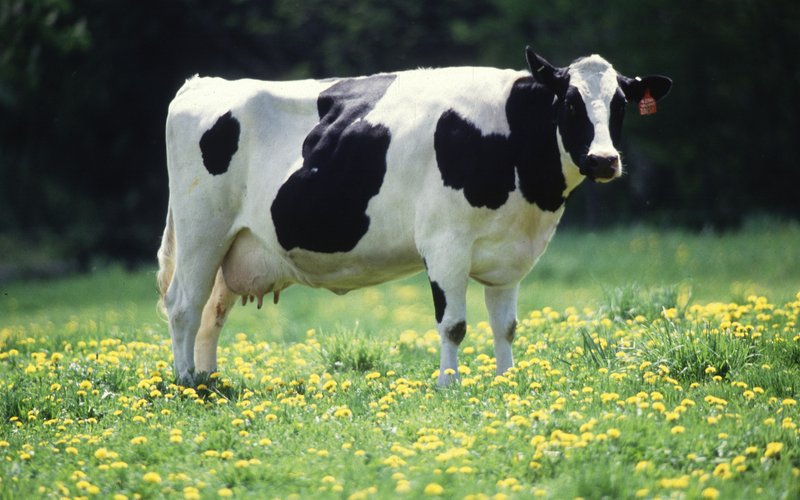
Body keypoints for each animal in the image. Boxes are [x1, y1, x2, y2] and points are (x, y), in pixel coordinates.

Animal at [157, 47, 671, 386]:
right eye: (570, 102)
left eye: (620, 104)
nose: (604, 160)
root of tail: (203, 83)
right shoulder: (445, 244)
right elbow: (454, 324)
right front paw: (449, 385)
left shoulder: (509, 256)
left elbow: (505, 325)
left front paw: (506, 381)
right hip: (202, 230)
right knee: (184, 305)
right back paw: (186, 383)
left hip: (234, 244)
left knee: (212, 312)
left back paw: (209, 380)